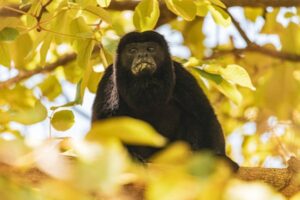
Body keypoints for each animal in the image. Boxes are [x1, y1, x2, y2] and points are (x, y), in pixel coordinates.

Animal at [92, 30, 238, 170]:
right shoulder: (109, 79)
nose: (142, 55)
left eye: (150, 48)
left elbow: (204, 114)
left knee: (191, 117)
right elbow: (103, 122)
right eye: (132, 50)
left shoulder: (180, 74)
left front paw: (220, 159)